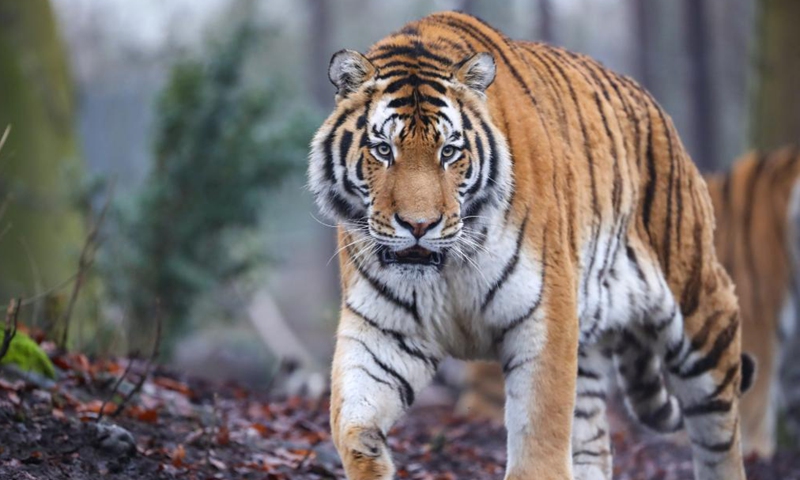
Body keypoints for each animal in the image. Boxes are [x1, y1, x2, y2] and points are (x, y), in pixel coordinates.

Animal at [308, 11, 752, 480]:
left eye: (449, 152)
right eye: (382, 149)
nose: (418, 225)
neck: (449, 267)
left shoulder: (545, 318)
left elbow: (539, 438)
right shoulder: (383, 332)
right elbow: (352, 422)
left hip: (699, 305)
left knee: (719, 438)